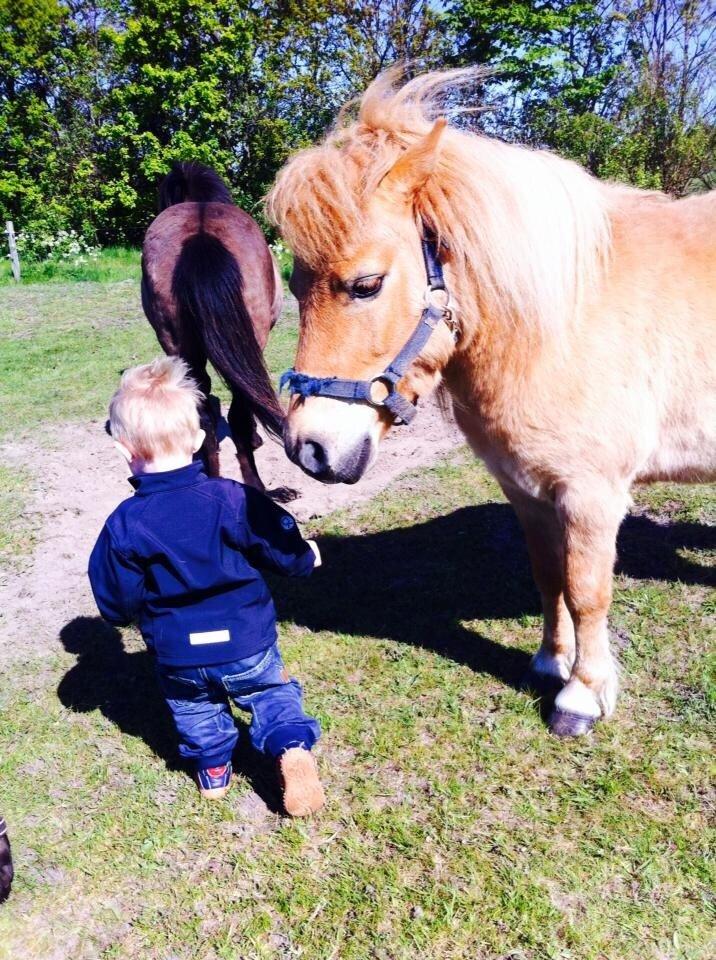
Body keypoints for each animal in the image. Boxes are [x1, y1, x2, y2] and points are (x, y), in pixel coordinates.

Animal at [268, 71, 716, 740]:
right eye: (294, 286)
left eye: (366, 285)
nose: (309, 449)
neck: (559, 323)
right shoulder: (526, 490)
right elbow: (550, 578)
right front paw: (549, 663)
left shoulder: (592, 494)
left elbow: (587, 590)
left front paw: (582, 696)